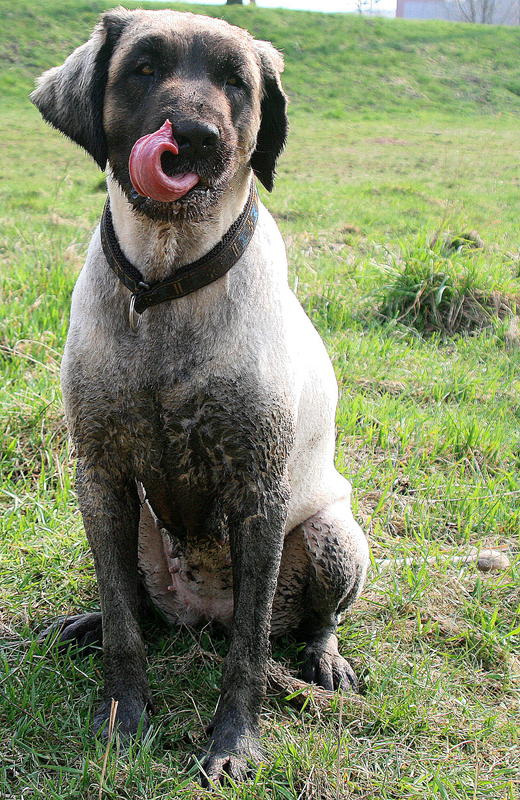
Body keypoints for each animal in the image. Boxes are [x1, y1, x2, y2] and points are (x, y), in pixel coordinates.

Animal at [31, 6, 370, 780]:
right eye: (144, 67)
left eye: (236, 82)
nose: (193, 137)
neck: (166, 281)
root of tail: (200, 615)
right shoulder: (101, 479)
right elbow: (125, 624)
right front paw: (123, 714)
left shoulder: (258, 493)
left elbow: (249, 649)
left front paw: (235, 742)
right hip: (137, 529)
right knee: (137, 606)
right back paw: (93, 621)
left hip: (334, 535)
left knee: (310, 619)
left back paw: (323, 658)